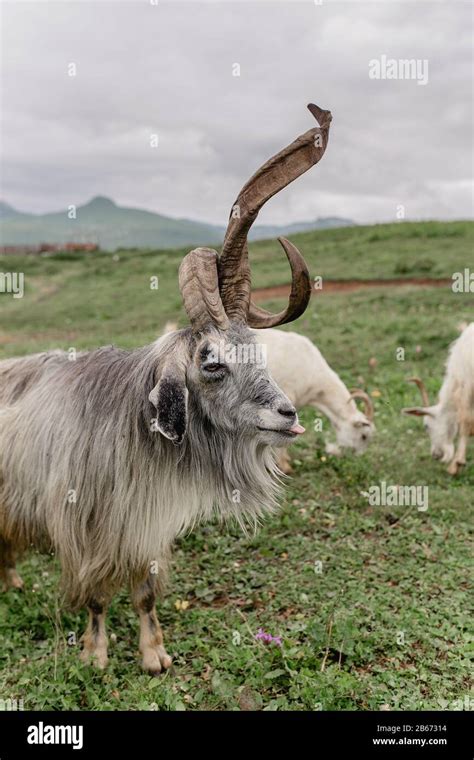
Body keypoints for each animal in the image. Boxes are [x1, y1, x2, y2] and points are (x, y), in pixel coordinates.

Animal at [0, 104, 332, 672]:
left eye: (258, 350)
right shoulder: (87, 529)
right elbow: (95, 596)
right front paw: (96, 654)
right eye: (211, 360)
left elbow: (146, 594)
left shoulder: (147, 529)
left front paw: (154, 655)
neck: (130, 426)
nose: (287, 415)